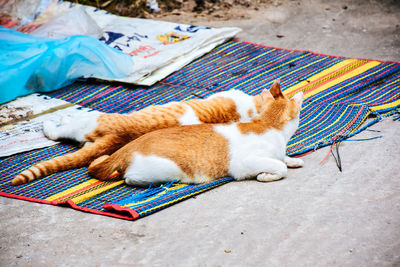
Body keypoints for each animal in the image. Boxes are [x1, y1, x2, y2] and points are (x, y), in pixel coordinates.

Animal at [86, 81, 302, 186]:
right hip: (167, 169)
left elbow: (282, 159)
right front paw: (267, 174)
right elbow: (280, 167)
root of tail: (126, 148)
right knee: (130, 178)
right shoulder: (244, 163)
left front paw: (291, 160)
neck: (268, 124)